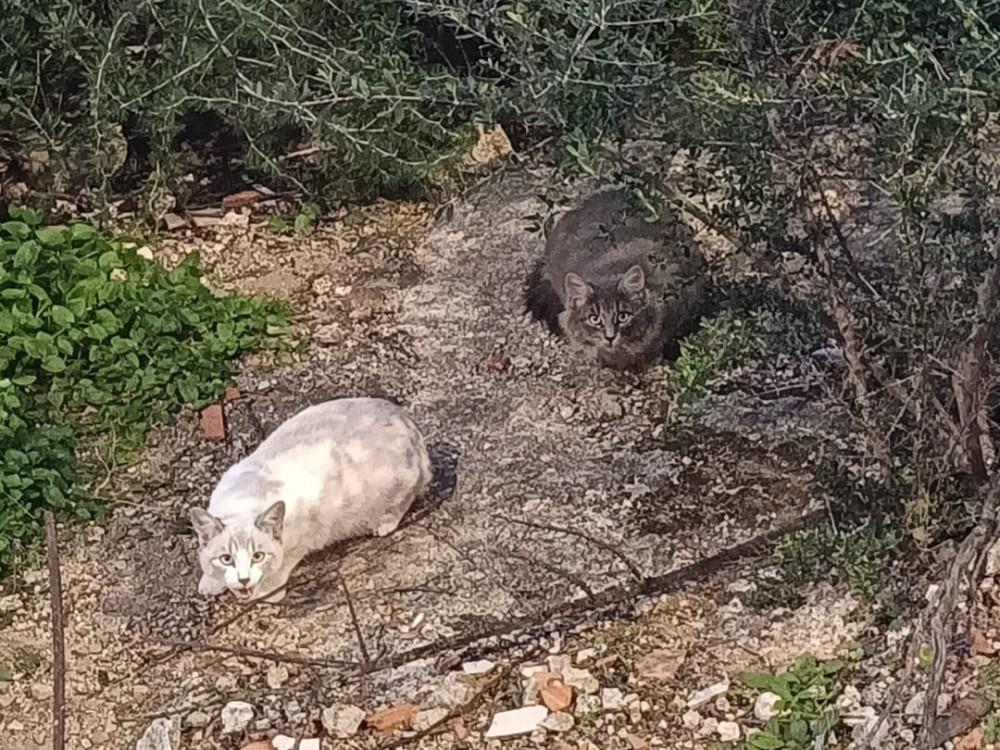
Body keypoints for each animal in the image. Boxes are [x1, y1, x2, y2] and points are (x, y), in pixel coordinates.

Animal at [189, 397, 431, 603]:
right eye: (226, 558)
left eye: (258, 556)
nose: (244, 579)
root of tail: (407, 419)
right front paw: (211, 582)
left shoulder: (307, 533)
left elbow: (281, 568)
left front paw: (267, 590)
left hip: (399, 481)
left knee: (406, 499)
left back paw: (384, 524)